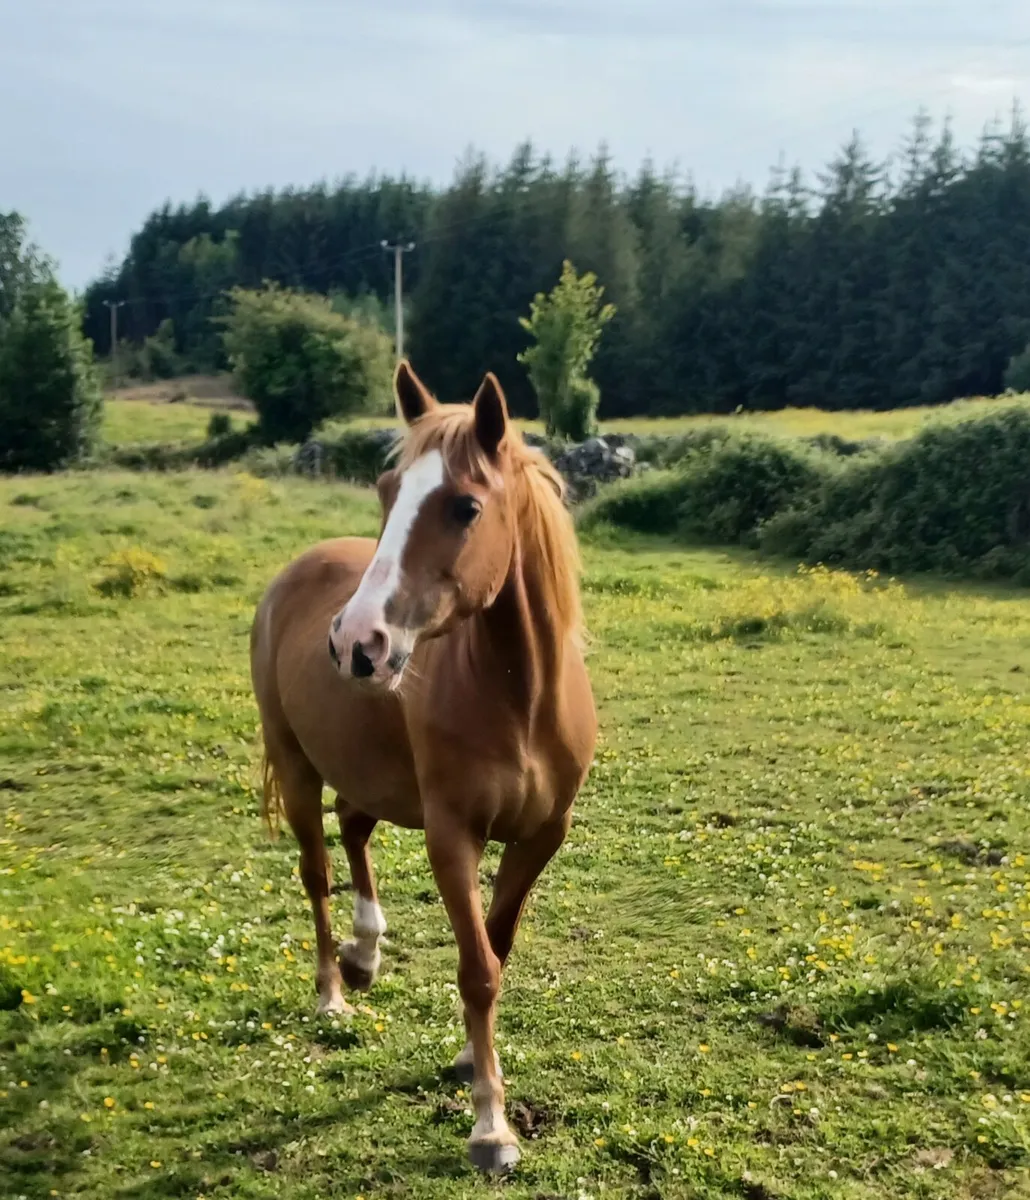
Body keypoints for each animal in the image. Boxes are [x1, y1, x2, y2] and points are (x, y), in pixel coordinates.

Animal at [249, 361, 597, 1172]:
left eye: (465, 506)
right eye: (388, 491)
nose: (355, 642)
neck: (520, 698)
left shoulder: (542, 837)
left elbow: (496, 949)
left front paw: (474, 1064)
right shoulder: (451, 837)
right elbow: (477, 968)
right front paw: (491, 1127)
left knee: (354, 831)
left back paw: (365, 952)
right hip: (298, 766)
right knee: (316, 871)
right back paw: (332, 989)